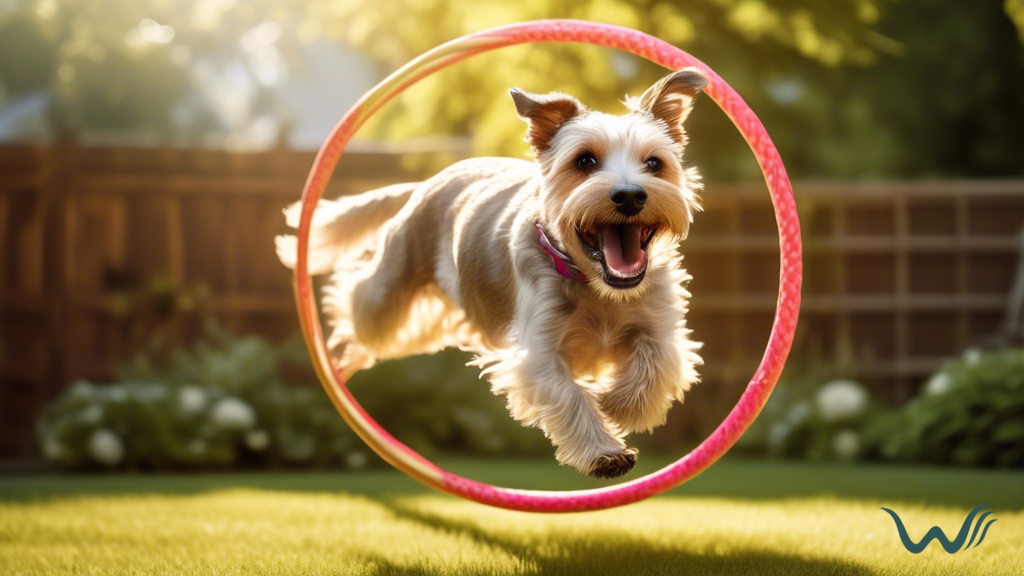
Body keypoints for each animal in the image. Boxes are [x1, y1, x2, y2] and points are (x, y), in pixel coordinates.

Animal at [276, 69, 708, 477]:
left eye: (654, 163)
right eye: (585, 161)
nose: (630, 195)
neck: (597, 285)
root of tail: (424, 185)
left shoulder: (659, 326)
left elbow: (655, 363)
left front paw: (617, 403)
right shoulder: (537, 351)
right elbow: (569, 395)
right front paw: (604, 450)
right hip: (389, 302)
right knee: (357, 303)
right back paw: (341, 353)